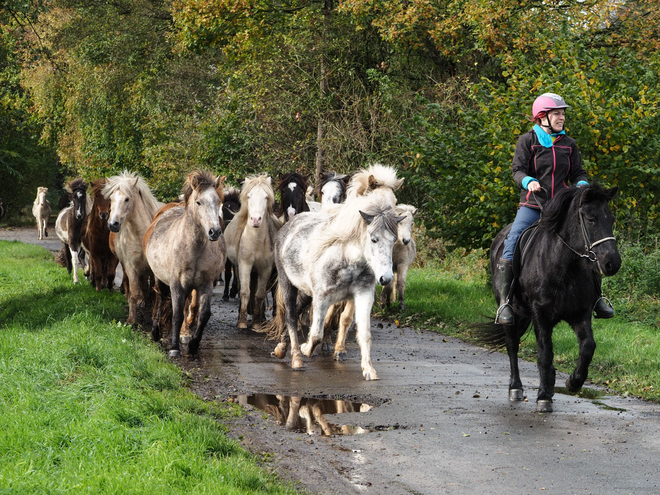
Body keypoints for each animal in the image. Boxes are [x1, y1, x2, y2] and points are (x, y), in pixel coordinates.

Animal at [104, 170, 165, 326]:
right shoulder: (132, 267)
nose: (113, 224)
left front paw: (152, 318)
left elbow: (155, 292)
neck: (140, 235)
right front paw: (132, 320)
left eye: (127, 199)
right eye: (111, 199)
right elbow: (134, 292)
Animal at [145, 170, 226, 356]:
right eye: (199, 202)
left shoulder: (205, 284)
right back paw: (155, 332)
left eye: (218, 201)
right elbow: (177, 314)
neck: (194, 250)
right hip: (160, 279)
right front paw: (174, 347)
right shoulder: (176, 284)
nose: (214, 232)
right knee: (160, 299)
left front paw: (193, 345)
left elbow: (203, 314)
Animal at [224, 174, 282, 330]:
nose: (255, 220)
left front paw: (256, 323)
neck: (256, 241)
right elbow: (245, 291)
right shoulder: (244, 264)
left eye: (266, 197)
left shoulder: (265, 269)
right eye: (249, 196)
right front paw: (242, 322)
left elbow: (260, 294)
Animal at [476, 184, 620, 412]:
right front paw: (543, 397)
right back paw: (516, 388)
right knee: (512, 345)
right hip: (511, 313)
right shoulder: (540, 313)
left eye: (612, 219)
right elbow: (544, 353)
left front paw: (573, 382)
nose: (612, 263)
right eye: (591, 219)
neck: (565, 265)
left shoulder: (580, 313)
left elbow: (588, 346)